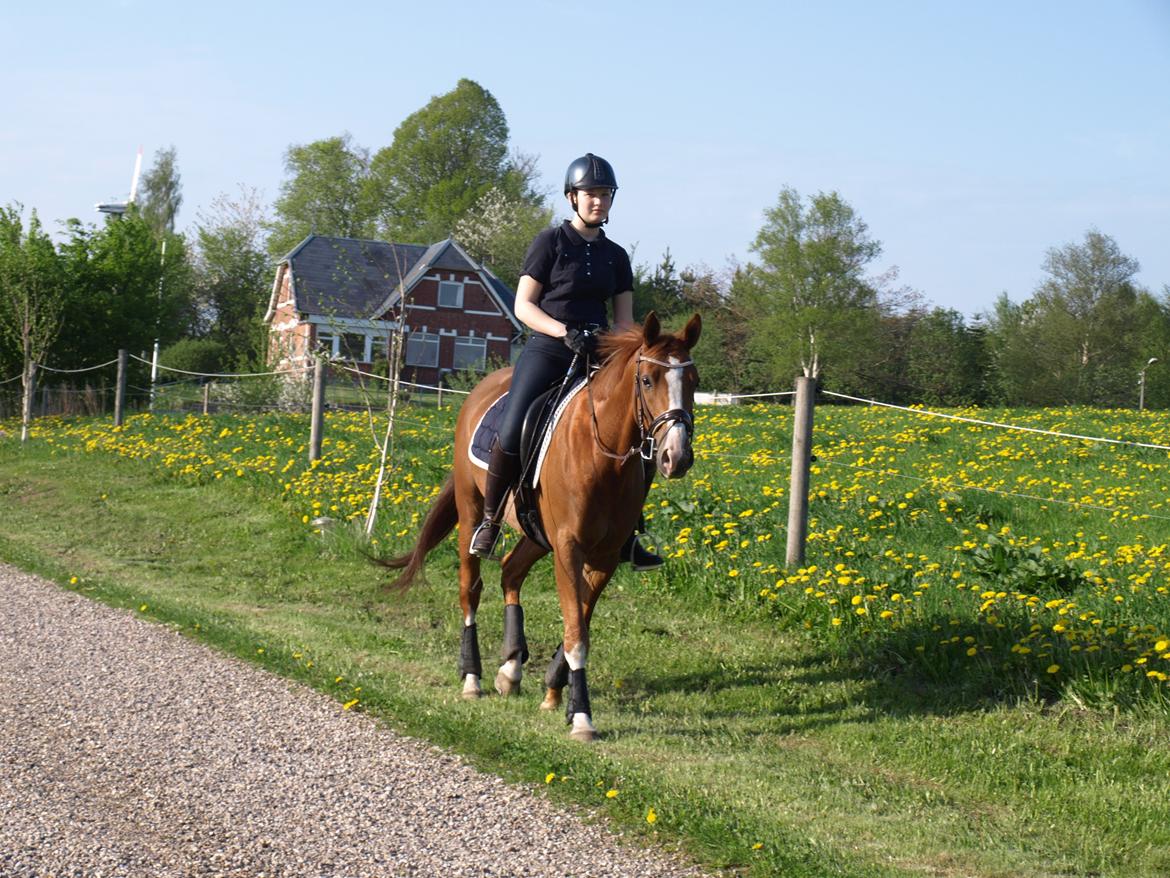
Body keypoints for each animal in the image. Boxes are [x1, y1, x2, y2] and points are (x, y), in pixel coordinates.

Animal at [381, 312, 701, 741]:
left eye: (694, 381)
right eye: (648, 380)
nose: (676, 457)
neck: (603, 456)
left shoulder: (603, 557)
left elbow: (579, 623)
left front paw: (553, 690)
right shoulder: (568, 548)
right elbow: (577, 633)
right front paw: (581, 716)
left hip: (536, 534)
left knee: (510, 572)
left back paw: (510, 668)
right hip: (472, 510)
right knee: (471, 589)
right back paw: (472, 677)